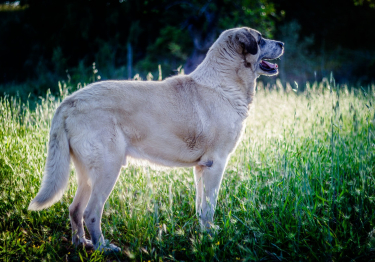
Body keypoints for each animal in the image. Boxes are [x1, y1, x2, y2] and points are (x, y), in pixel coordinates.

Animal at [27, 27, 284, 252]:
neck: (226, 83)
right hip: (108, 169)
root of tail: (69, 101)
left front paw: (203, 233)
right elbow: (210, 206)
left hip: (87, 174)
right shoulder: (216, 163)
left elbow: (201, 205)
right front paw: (211, 236)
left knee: (75, 209)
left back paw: (82, 244)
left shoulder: (201, 167)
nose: (282, 43)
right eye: (260, 39)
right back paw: (104, 248)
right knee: (91, 212)